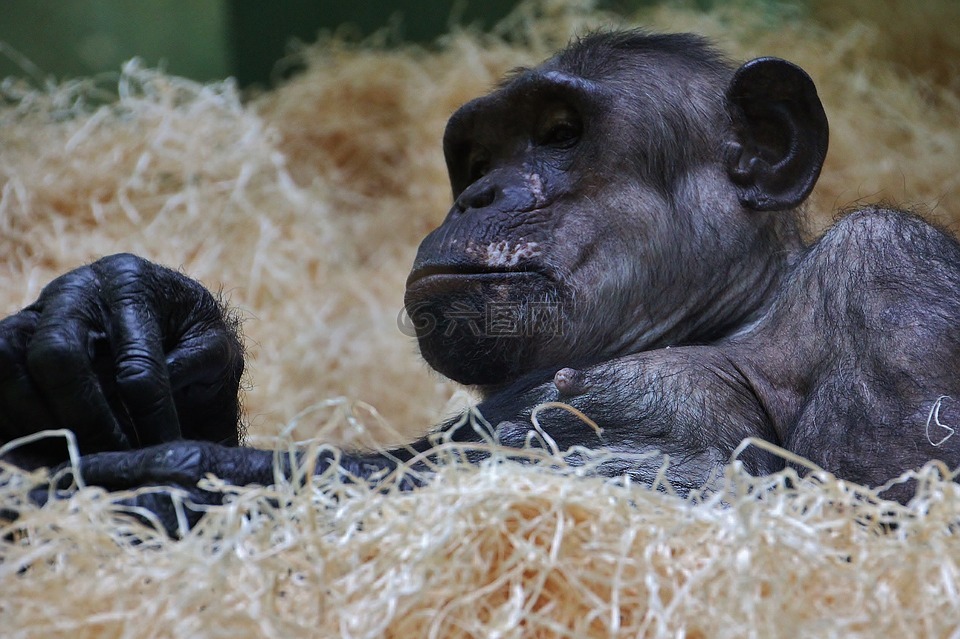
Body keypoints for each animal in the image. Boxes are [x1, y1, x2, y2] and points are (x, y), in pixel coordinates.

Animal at [1, 30, 960, 528]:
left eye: (562, 133)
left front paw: (188, 479)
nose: (480, 195)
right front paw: (127, 315)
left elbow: (884, 517)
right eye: (475, 157)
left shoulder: (892, 279)